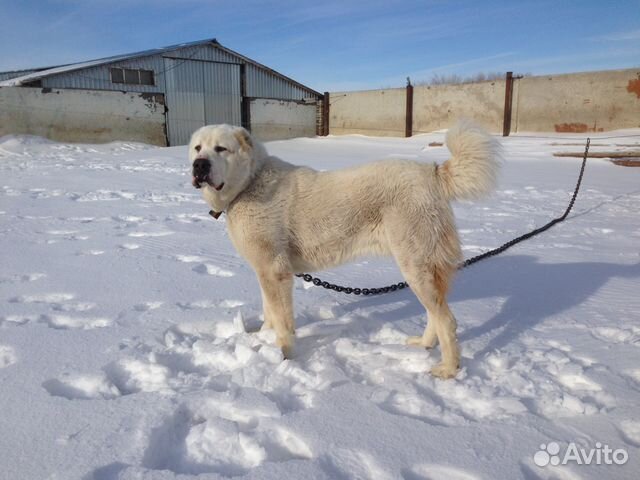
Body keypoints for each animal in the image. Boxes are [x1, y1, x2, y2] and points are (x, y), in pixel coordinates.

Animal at [190, 122, 500, 376]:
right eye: (197, 148)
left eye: (221, 149)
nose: (199, 165)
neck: (249, 182)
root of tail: (432, 172)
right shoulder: (265, 270)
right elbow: (270, 312)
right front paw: (262, 339)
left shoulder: (275, 271)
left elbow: (282, 319)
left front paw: (284, 356)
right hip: (423, 268)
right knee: (436, 315)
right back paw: (422, 345)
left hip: (415, 265)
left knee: (447, 320)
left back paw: (448, 369)